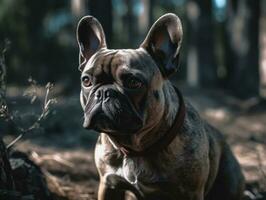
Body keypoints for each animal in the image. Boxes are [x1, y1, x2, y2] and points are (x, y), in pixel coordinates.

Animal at [76, 13, 244, 199]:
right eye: (86, 81)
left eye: (133, 82)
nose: (104, 92)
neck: (136, 148)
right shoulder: (109, 184)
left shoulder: (191, 192)